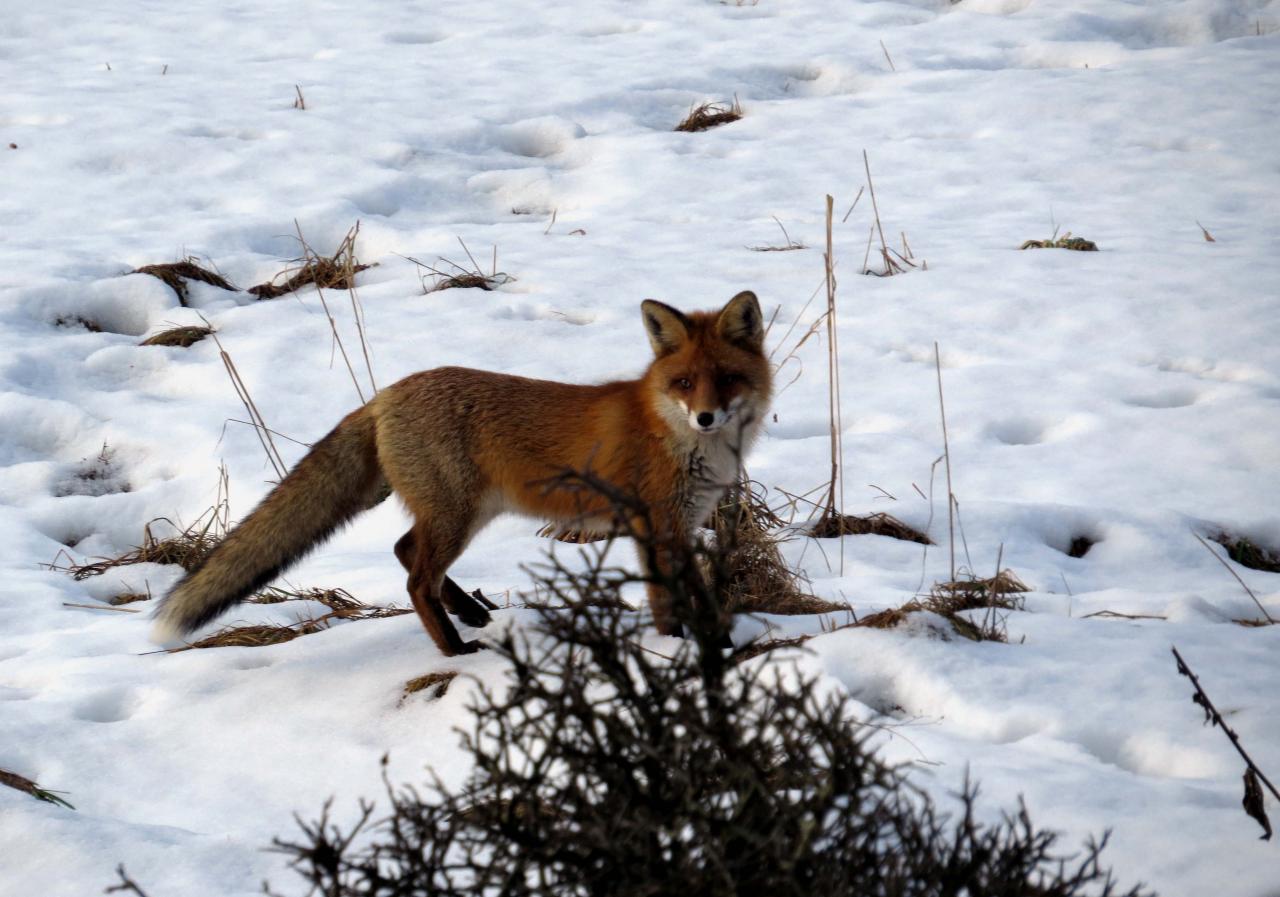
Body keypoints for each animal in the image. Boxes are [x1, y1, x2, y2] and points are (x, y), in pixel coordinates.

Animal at [149, 290, 768, 655]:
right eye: (685, 383)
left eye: (726, 379)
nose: (706, 417)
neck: (678, 438)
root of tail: (384, 395)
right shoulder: (658, 524)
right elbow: (676, 598)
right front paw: (688, 647)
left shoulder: (667, 527)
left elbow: (686, 595)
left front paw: (704, 641)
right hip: (458, 515)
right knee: (415, 579)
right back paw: (454, 648)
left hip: (462, 513)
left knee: (404, 551)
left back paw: (472, 614)